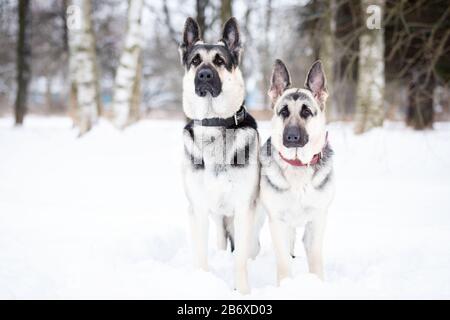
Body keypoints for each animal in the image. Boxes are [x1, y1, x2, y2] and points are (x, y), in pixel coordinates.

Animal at [179, 16, 262, 294]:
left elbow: (240, 260)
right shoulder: (198, 208)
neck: (214, 123)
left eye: (219, 61)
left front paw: (243, 291)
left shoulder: (243, 208)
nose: (204, 75)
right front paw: (203, 284)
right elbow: (200, 256)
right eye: (195, 61)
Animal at [260, 58, 334, 284]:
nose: (291, 136)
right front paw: (285, 285)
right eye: (284, 111)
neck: (297, 166)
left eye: (306, 112)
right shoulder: (278, 222)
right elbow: (284, 262)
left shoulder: (317, 221)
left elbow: (316, 259)